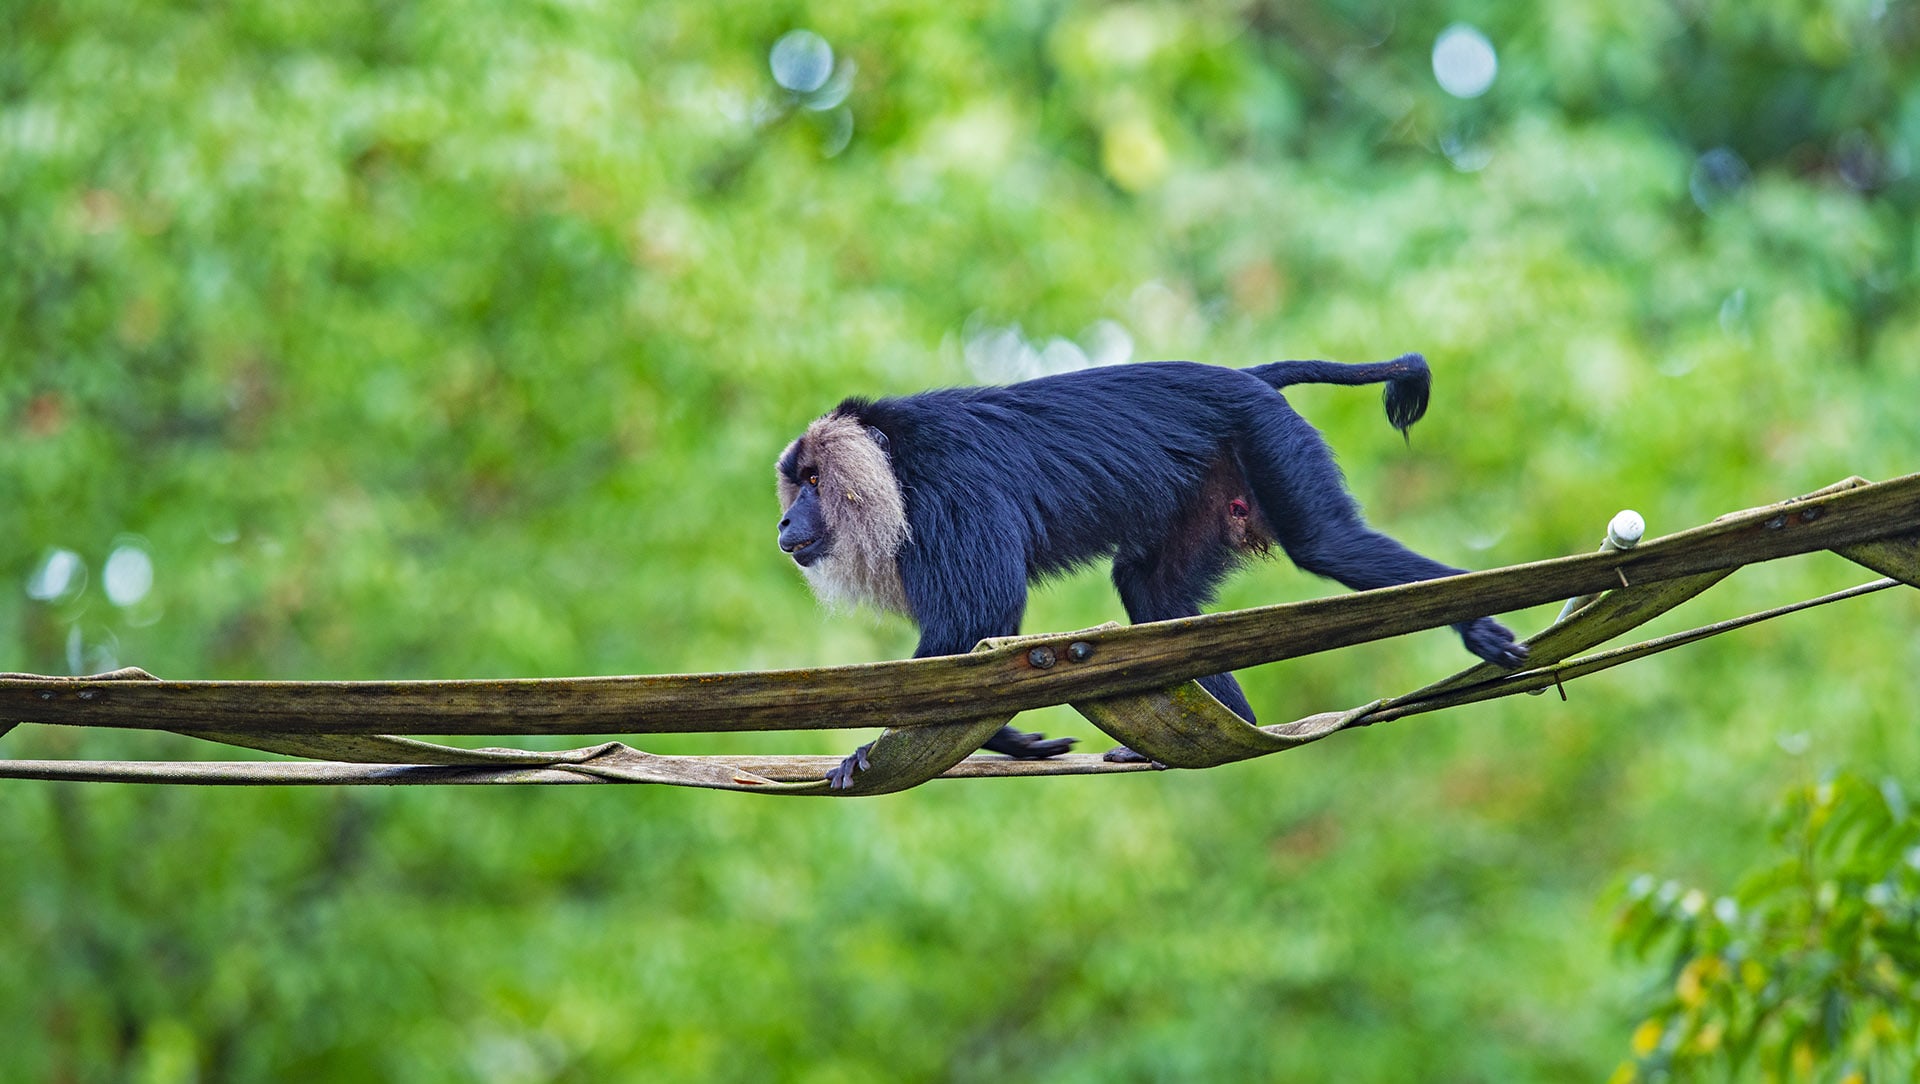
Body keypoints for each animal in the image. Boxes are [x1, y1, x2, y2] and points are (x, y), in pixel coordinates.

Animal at [775, 354, 1527, 788]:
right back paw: (1227, 730)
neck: (895, 463)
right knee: (1152, 592)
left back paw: (1477, 625)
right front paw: (1007, 739)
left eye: (813, 481)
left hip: (1267, 435)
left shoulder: (949, 490)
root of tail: (1243, 376)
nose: (786, 523)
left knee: (1330, 543)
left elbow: (980, 623)